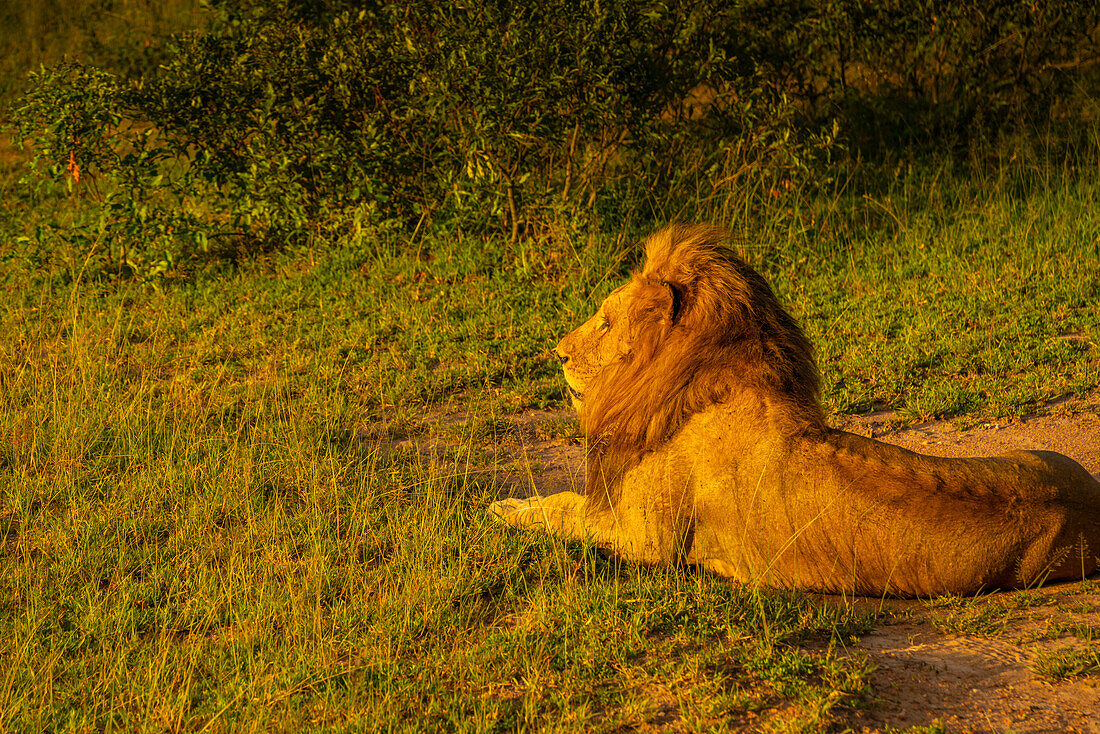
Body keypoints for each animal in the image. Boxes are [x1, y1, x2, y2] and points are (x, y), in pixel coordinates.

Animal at [495, 222, 1100, 598]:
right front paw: (517, 504)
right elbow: (566, 504)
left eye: (603, 321)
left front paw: (505, 510)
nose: (557, 352)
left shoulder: (646, 542)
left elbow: (567, 514)